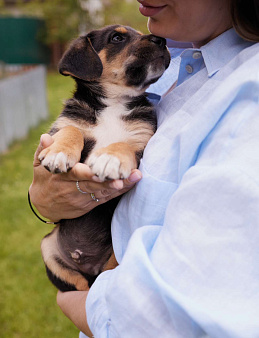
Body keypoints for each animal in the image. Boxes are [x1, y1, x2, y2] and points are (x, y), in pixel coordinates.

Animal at [39, 25, 172, 292]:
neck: (114, 103)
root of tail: (85, 262)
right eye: (117, 38)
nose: (162, 40)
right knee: (80, 287)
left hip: (113, 259)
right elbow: (71, 129)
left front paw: (111, 159)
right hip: (48, 248)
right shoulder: (63, 125)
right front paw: (60, 152)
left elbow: (124, 145)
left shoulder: (142, 141)